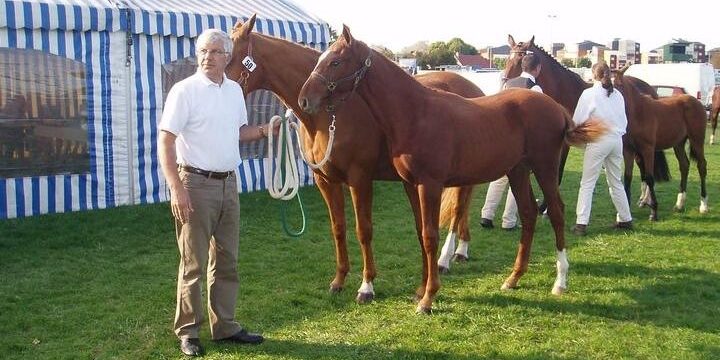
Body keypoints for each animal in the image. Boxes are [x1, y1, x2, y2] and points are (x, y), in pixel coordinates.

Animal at [225, 15, 484, 306]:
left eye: (232, 55)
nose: (305, 100)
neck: (330, 116)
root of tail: (474, 88)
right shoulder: (326, 180)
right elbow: (338, 228)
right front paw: (339, 280)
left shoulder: (359, 179)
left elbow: (363, 230)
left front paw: (366, 286)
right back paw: (459, 252)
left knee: (459, 210)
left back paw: (447, 257)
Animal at [298, 24, 608, 312]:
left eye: (335, 61)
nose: (304, 99)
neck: (415, 114)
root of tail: (557, 108)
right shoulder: (411, 184)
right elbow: (421, 232)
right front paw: (420, 290)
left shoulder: (430, 184)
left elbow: (430, 235)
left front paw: (428, 298)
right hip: (518, 171)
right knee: (529, 213)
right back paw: (513, 278)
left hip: (545, 167)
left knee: (556, 212)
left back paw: (560, 281)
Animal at [612, 65, 708, 215]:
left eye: (616, 85)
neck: (637, 113)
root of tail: (696, 101)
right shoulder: (628, 150)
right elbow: (627, 177)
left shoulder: (648, 149)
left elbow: (649, 177)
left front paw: (653, 209)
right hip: (678, 144)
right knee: (684, 165)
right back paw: (679, 204)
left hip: (697, 139)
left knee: (701, 166)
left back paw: (703, 205)